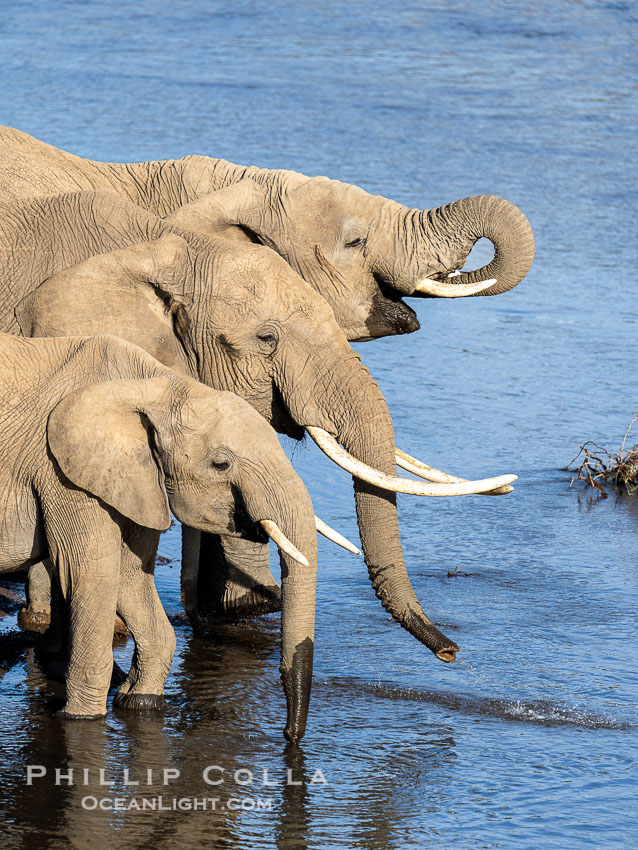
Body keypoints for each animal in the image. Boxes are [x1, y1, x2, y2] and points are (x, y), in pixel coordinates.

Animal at [0, 332, 320, 744]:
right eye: (221, 464)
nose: (288, 735)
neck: (157, 386)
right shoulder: (61, 471)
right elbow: (91, 575)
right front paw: (81, 719)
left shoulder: (136, 478)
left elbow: (130, 575)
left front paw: (139, 701)